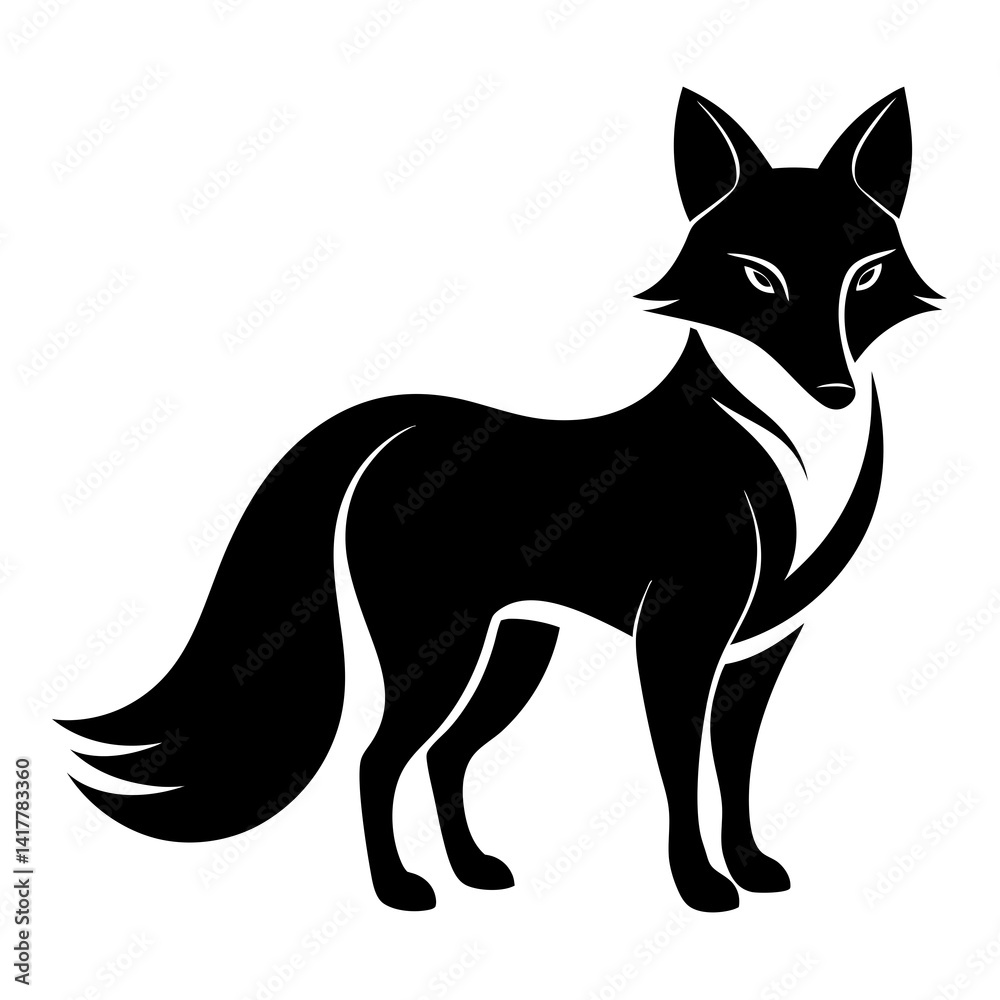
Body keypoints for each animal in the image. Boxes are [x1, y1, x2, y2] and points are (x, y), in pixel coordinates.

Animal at [58, 87, 941, 913]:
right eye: (760, 274)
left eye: (865, 274)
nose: (832, 390)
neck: (790, 452)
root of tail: (403, 424)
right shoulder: (678, 638)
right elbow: (680, 769)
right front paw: (700, 885)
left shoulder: (763, 646)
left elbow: (735, 766)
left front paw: (752, 869)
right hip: (439, 648)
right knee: (379, 757)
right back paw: (400, 889)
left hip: (514, 645)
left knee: (446, 754)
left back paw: (474, 871)